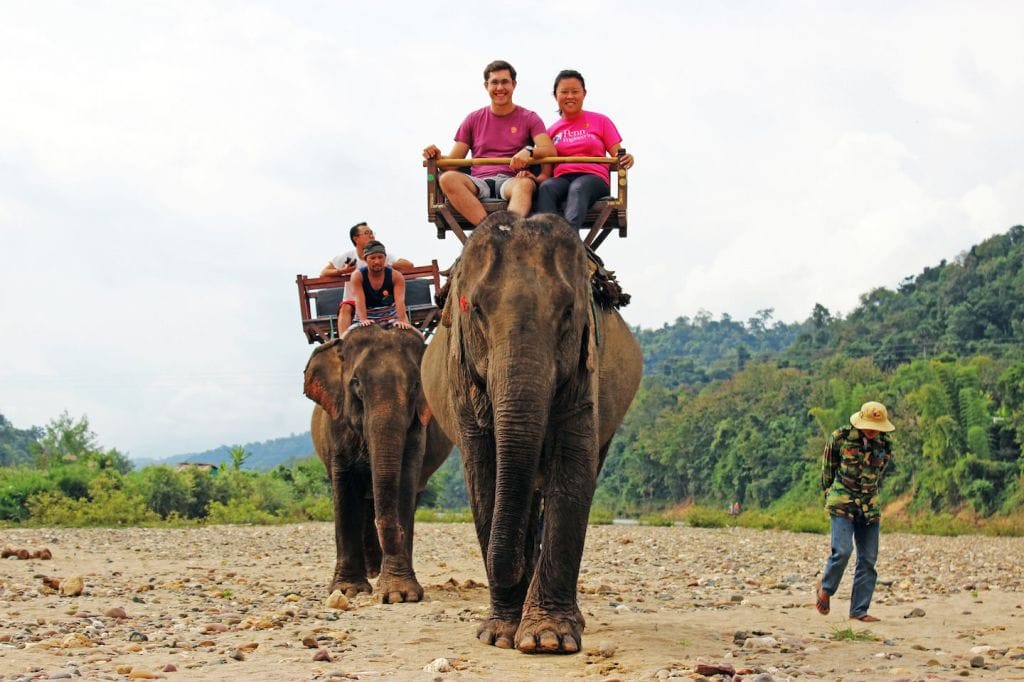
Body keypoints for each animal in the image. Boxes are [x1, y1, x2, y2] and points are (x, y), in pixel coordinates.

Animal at [301, 323, 450, 602]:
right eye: (356, 383)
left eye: (417, 385)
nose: (399, 533)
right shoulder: (336, 425)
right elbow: (345, 492)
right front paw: (348, 590)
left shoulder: (417, 431)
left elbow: (404, 483)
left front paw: (400, 594)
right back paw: (370, 573)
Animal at [419, 209, 634, 651]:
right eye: (475, 309)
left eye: (568, 311)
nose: (515, 566)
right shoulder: (460, 378)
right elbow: (484, 474)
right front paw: (500, 635)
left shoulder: (587, 365)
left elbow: (574, 468)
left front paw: (547, 639)